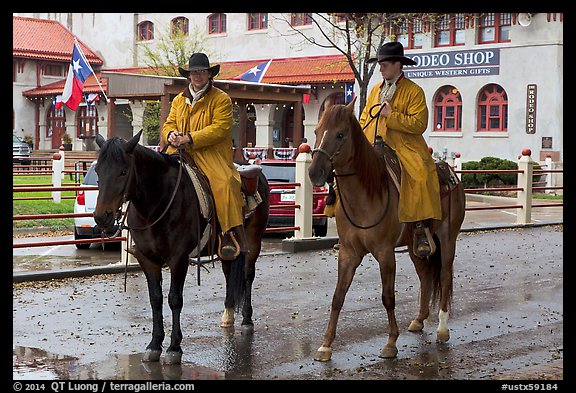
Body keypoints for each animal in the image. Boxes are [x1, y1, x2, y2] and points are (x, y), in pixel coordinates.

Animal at [93, 131, 270, 364]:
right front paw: (154, 344)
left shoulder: (178, 259)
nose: (101, 217)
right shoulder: (147, 260)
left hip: (254, 240)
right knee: (229, 272)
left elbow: (174, 299)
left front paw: (174, 347)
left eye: (123, 171)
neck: (158, 201)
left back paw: (247, 319)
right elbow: (156, 299)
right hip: (228, 249)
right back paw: (228, 315)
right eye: (98, 170)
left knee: (248, 275)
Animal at [308, 100, 466, 362]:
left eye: (340, 134)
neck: (367, 194)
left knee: (444, 276)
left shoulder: (385, 253)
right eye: (316, 131)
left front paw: (391, 342)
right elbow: (338, 297)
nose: (314, 172)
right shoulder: (348, 253)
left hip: (448, 239)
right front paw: (325, 345)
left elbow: (388, 297)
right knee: (425, 276)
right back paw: (419, 319)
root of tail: (450, 171)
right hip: (416, 246)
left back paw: (442, 329)